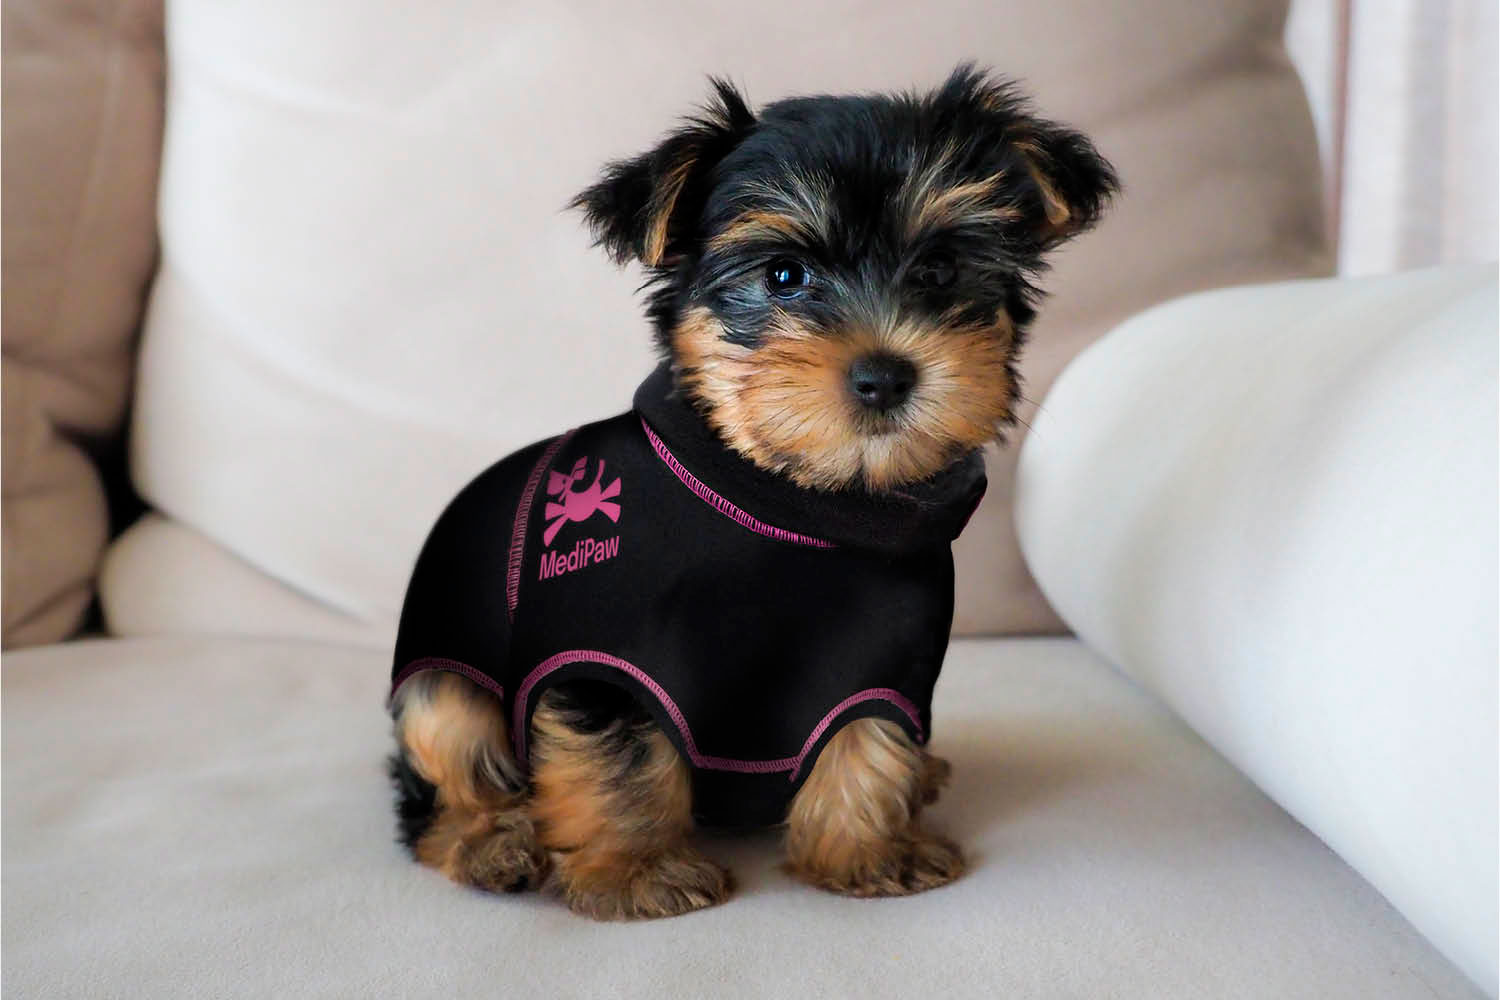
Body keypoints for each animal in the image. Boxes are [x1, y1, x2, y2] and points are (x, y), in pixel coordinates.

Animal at [387, 64, 1116, 923]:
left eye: (939, 270)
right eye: (783, 277)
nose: (885, 375)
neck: (803, 501)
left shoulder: (883, 661)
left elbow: (867, 734)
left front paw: (866, 851)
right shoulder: (601, 654)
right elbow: (621, 756)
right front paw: (638, 869)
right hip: (443, 682)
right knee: (443, 773)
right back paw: (493, 843)